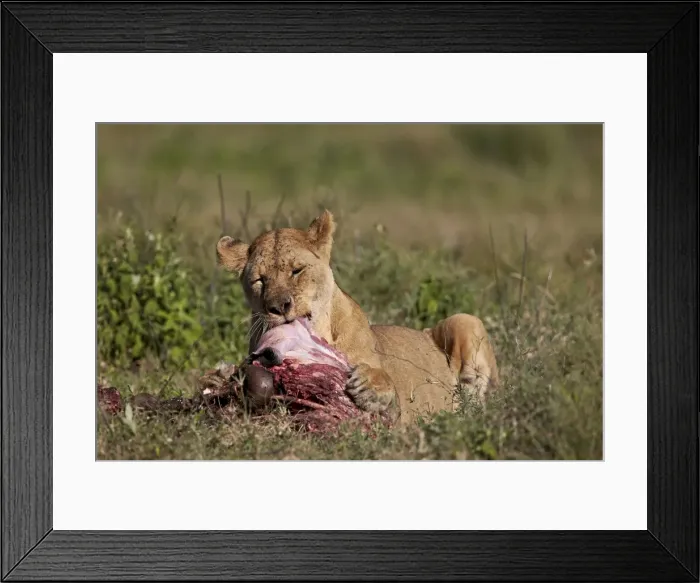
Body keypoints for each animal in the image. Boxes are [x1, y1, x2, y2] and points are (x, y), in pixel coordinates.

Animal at [216, 210, 499, 425]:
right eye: (260, 280)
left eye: (297, 271)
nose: (279, 306)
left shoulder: (399, 414)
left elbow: (386, 386)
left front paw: (368, 386)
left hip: (465, 320)